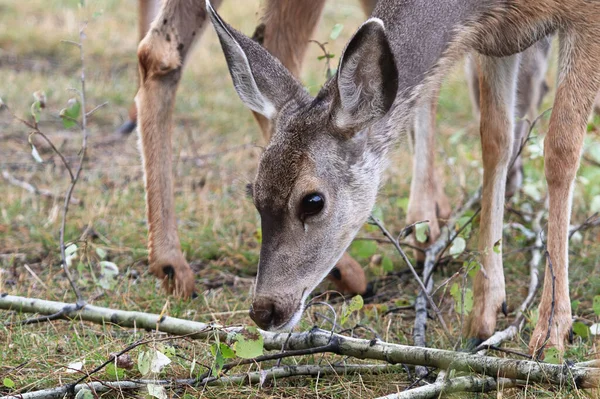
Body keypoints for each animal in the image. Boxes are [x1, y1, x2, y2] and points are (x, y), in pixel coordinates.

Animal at [205, 0, 600, 356]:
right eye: (253, 192)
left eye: (313, 201)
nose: (264, 309)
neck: (497, 7)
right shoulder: (501, 40)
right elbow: (494, 140)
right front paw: (483, 315)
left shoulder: (585, 17)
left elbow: (561, 148)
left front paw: (552, 330)